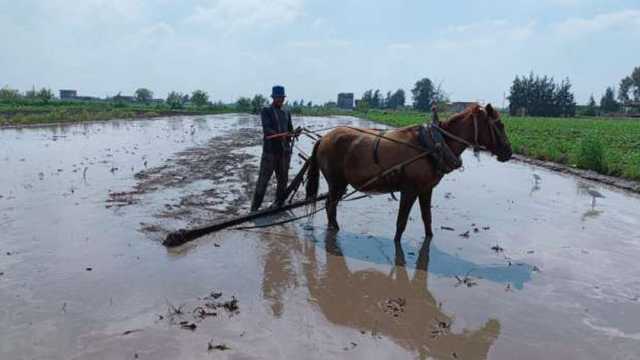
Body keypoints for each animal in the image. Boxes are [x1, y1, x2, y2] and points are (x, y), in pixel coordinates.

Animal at [306, 104, 516, 245]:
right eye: (500, 125)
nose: (509, 152)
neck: (434, 145)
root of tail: (323, 138)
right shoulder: (410, 190)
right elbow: (401, 222)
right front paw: (397, 245)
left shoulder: (426, 189)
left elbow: (427, 219)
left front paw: (429, 241)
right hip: (336, 182)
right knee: (330, 204)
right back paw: (334, 230)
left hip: (339, 183)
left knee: (330, 205)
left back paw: (335, 227)